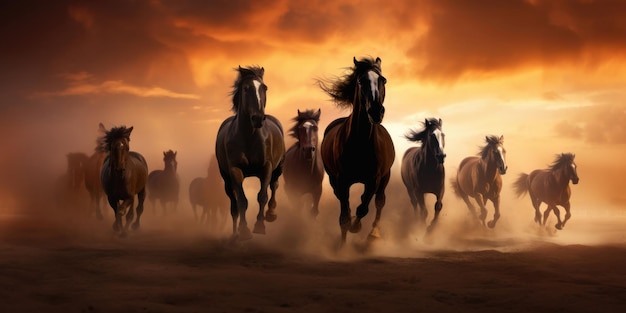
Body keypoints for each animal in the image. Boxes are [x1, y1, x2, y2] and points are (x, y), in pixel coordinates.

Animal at [213, 64, 284, 239]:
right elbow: (242, 201)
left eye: (264, 88)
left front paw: (259, 226)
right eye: (246, 89)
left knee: (274, 185)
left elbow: (262, 196)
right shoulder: (235, 170)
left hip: (278, 168)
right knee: (233, 205)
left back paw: (271, 214)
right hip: (226, 179)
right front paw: (244, 231)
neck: (248, 136)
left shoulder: (266, 167)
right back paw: (235, 235)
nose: (258, 118)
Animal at [316, 57, 394, 243]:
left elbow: (363, 207)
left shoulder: (373, 180)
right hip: (333, 179)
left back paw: (374, 233)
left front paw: (356, 227)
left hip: (385, 177)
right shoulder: (341, 180)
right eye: (361, 81)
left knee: (380, 201)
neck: (361, 142)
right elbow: (344, 215)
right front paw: (344, 238)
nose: (376, 111)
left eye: (383, 80)